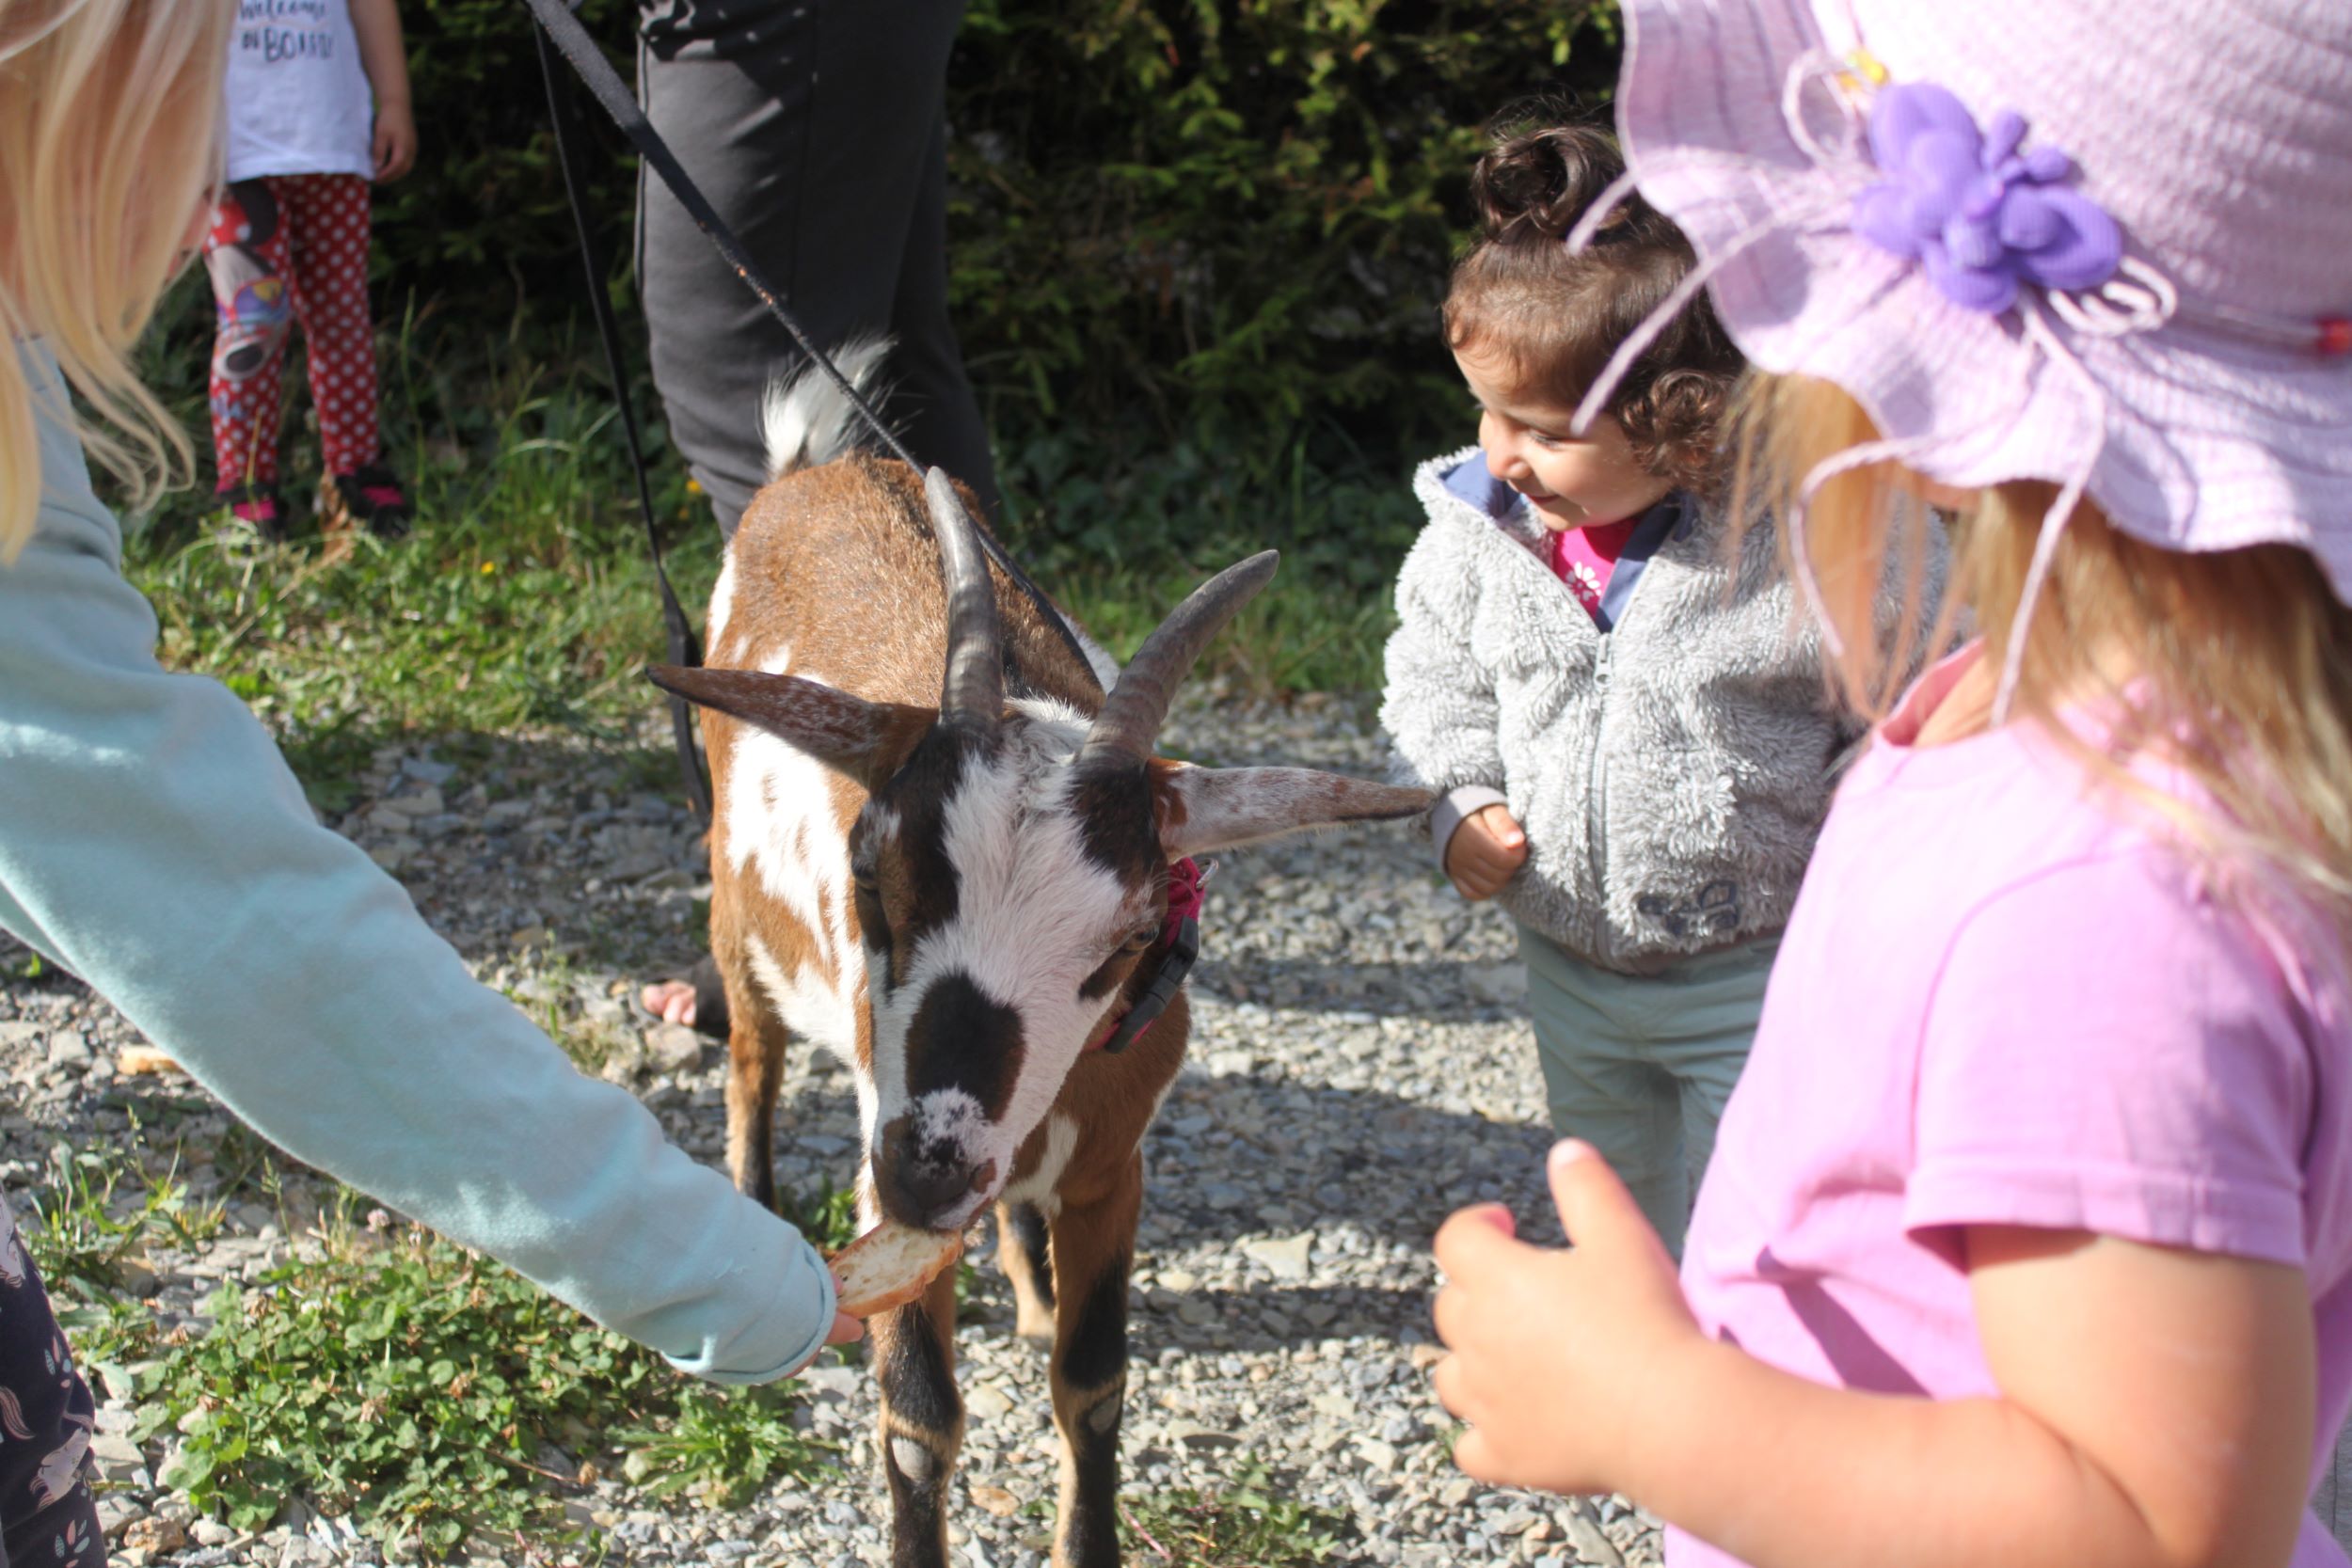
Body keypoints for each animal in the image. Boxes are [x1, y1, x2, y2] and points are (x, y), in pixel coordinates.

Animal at [647, 360, 1429, 1568]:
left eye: (1131, 935)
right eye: (870, 872)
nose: (929, 1167)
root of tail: (814, 470)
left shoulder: (1114, 1160)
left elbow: (1093, 1383)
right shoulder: (887, 1146)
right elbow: (918, 1420)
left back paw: (1025, 1283)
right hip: (739, 916)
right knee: (751, 1064)